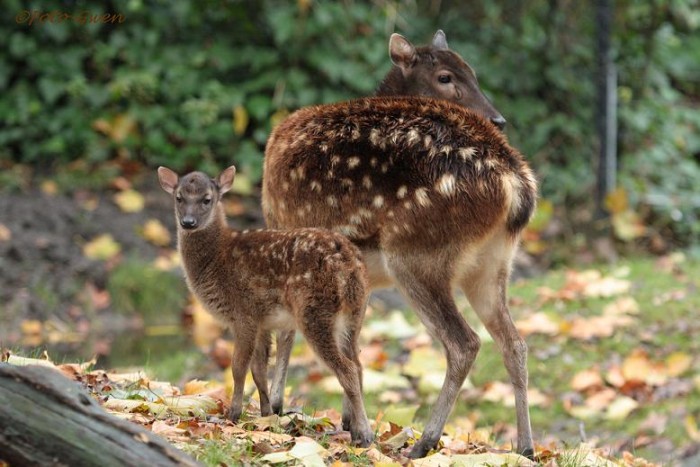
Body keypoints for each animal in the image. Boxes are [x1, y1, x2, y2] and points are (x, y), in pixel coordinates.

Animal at [157, 165, 374, 447]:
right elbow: (259, 369)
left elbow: (238, 367)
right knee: (358, 365)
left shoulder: (243, 313)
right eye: (179, 197)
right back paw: (357, 430)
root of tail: (350, 264)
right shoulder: (262, 320)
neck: (217, 259)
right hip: (355, 314)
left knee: (347, 369)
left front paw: (233, 415)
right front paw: (266, 414)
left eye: (207, 199)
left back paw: (365, 435)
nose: (188, 222)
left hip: (315, 312)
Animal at [261, 96, 537, 459]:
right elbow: (352, 343)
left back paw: (424, 442)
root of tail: (517, 185)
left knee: (465, 343)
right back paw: (526, 447)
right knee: (514, 344)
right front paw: (352, 423)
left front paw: (277, 407)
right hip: (493, 265)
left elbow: (289, 332)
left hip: (416, 253)